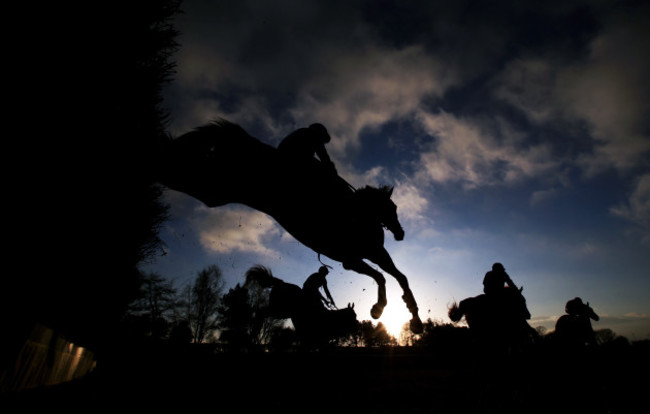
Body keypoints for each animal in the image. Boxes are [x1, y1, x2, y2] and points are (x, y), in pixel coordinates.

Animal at [155, 120, 422, 334]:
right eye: (391, 208)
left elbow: (400, 277)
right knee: (175, 171)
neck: (357, 214)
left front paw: (415, 318)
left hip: (218, 189)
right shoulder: (352, 260)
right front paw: (378, 308)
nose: (400, 234)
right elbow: (381, 277)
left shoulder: (376, 253)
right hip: (220, 186)